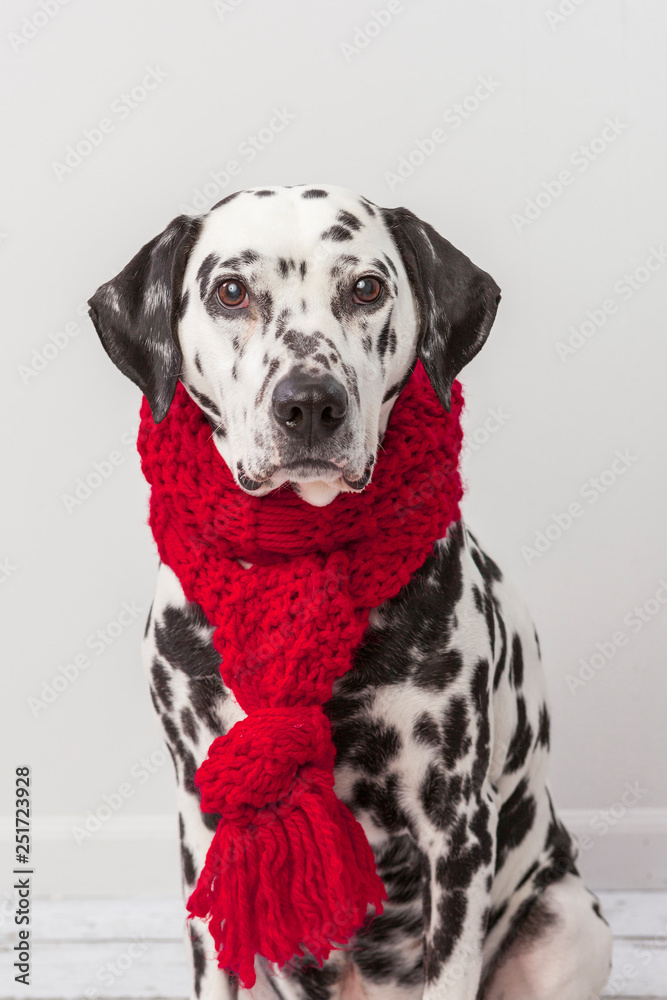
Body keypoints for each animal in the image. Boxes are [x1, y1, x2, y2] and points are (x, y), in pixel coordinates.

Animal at [90, 184, 616, 996]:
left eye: (366, 288)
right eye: (230, 291)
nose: (309, 402)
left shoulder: (454, 825)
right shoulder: (205, 825)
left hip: (566, 924)